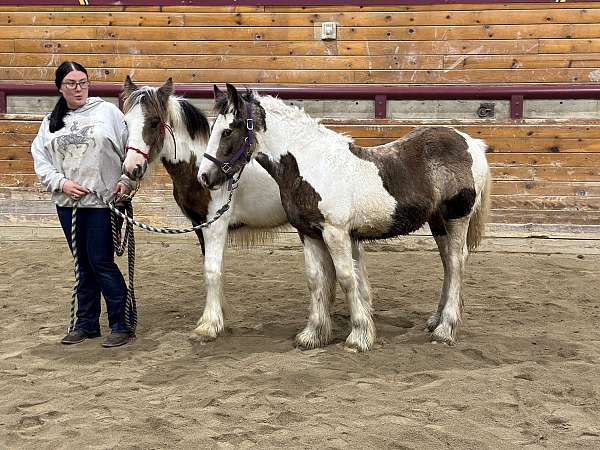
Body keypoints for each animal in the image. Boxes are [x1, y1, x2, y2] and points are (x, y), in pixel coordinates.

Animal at [120, 77, 288, 340]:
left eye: (155, 122)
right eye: (126, 122)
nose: (131, 168)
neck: (200, 166)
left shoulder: (216, 224)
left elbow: (211, 269)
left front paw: (209, 324)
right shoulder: (198, 223)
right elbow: (211, 266)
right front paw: (220, 313)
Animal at [199, 85, 490, 352]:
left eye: (227, 131)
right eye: (212, 128)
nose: (204, 177)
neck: (312, 165)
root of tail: (471, 143)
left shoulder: (335, 232)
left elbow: (347, 278)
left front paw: (359, 336)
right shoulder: (309, 233)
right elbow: (316, 280)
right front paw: (313, 335)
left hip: (457, 218)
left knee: (456, 262)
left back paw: (445, 329)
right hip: (438, 222)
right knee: (448, 264)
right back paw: (436, 320)